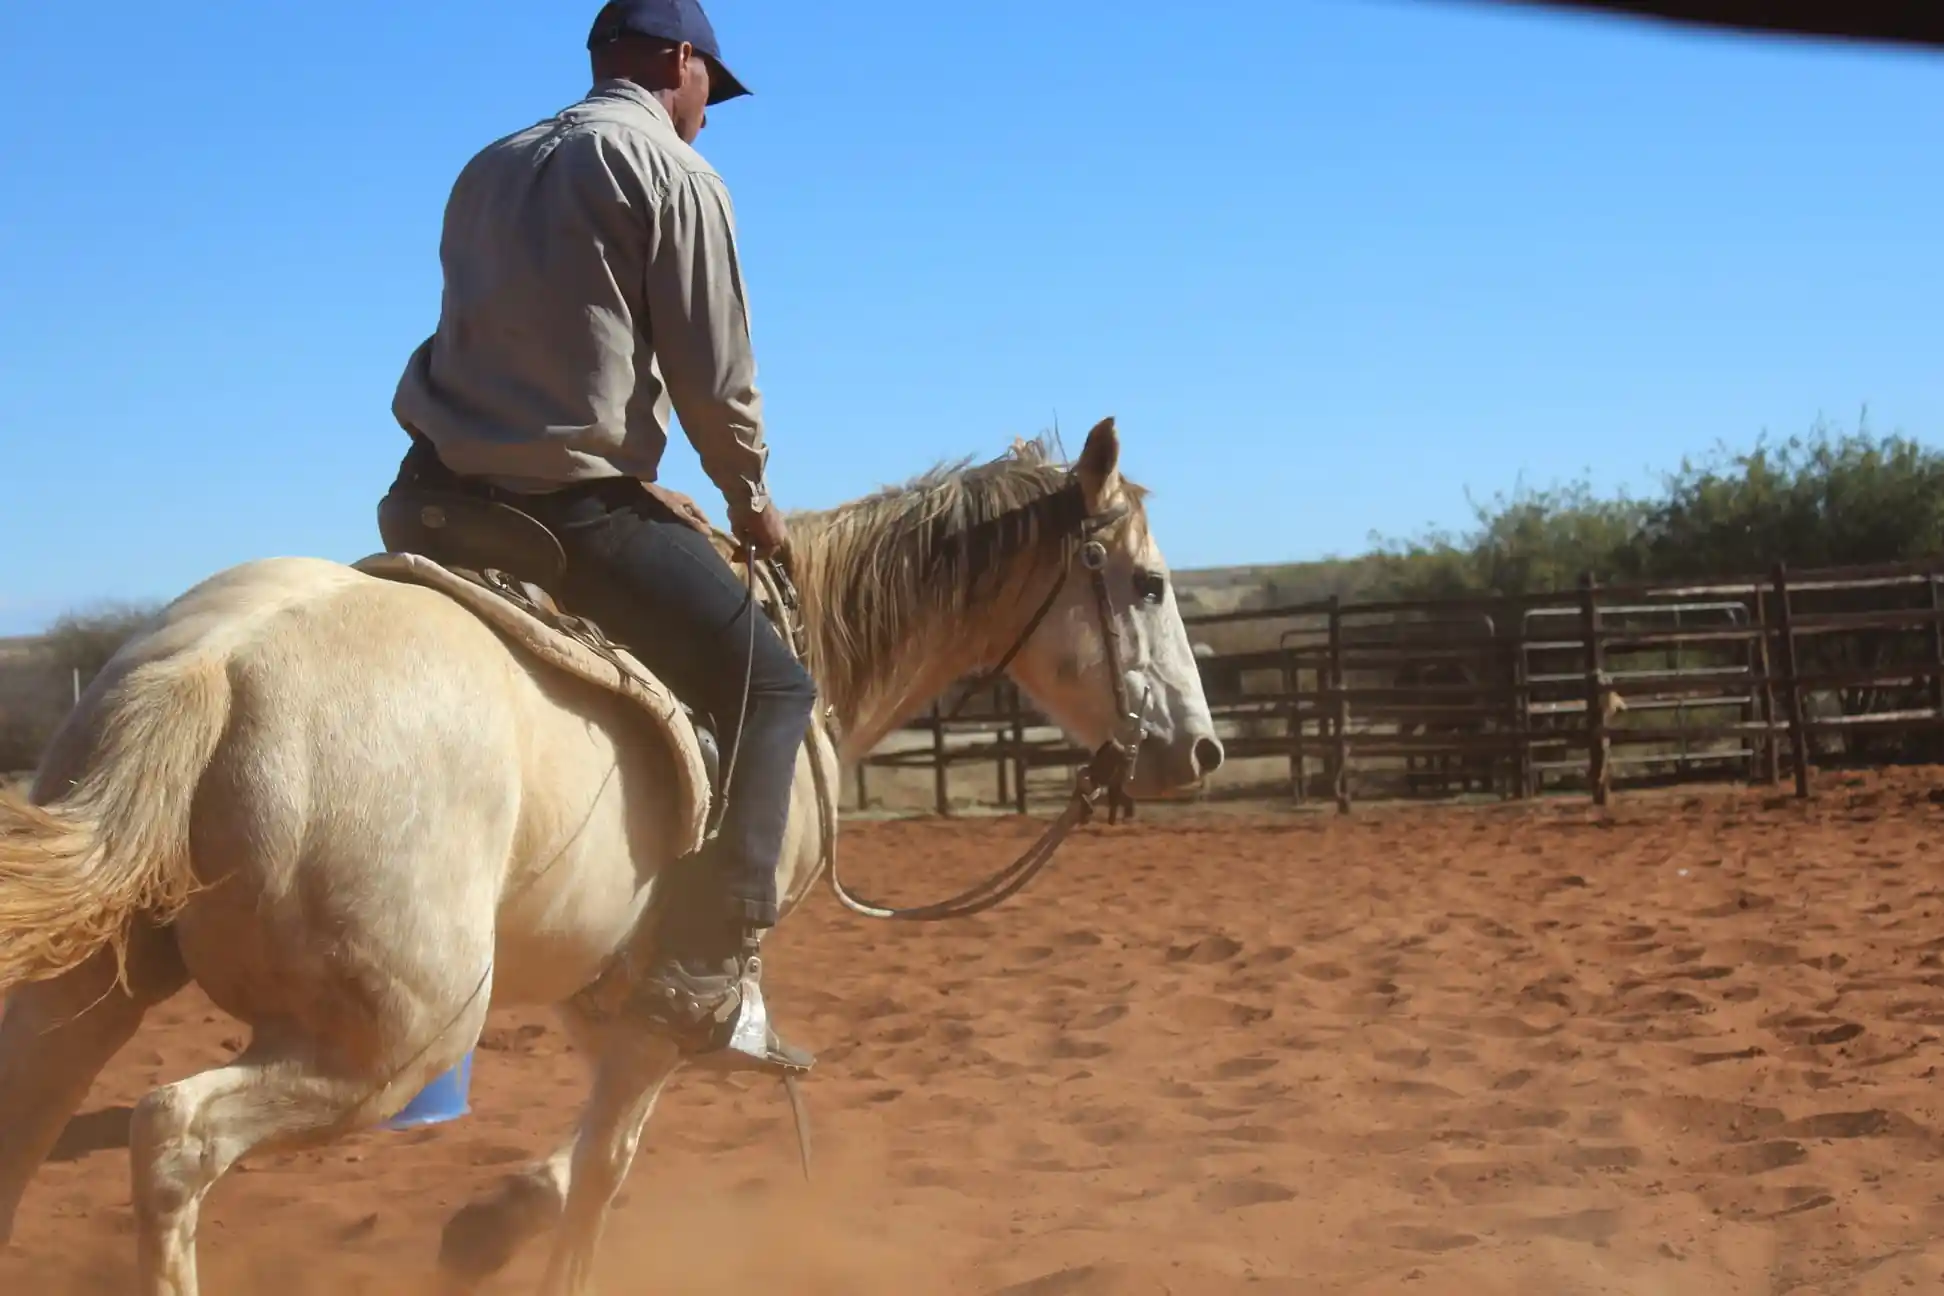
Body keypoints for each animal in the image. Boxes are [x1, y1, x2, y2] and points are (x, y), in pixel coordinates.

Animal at [0, 416, 1222, 1296]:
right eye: (1149, 585)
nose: (1197, 749)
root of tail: (210, 669)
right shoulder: (670, 996)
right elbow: (607, 1167)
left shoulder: (612, 981)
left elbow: (588, 1148)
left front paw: (486, 1225)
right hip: (390, 1041)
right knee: (174, 1138)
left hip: (88, 996)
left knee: (33, 1117)